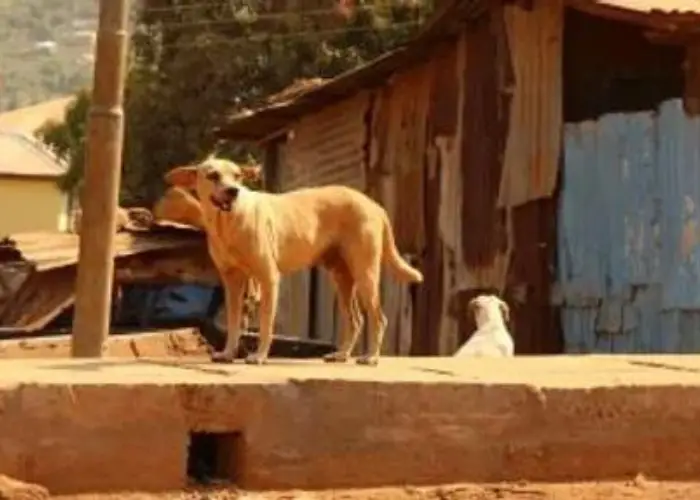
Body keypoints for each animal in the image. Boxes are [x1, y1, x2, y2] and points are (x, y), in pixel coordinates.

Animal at [167, 155, 424, 364]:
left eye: (237, 176)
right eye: (213, 175)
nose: (233, 191)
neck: (227, 222)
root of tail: (374, 205)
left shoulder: (268, 278)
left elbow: (265, 323)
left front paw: (259, 356)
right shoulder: (232, 283)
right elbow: (233, 323)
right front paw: (229, 353)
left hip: (365, 275)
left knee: (379, 318)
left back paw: (371, 357)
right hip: (342, 279)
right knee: (356, 320)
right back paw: (342, 355)